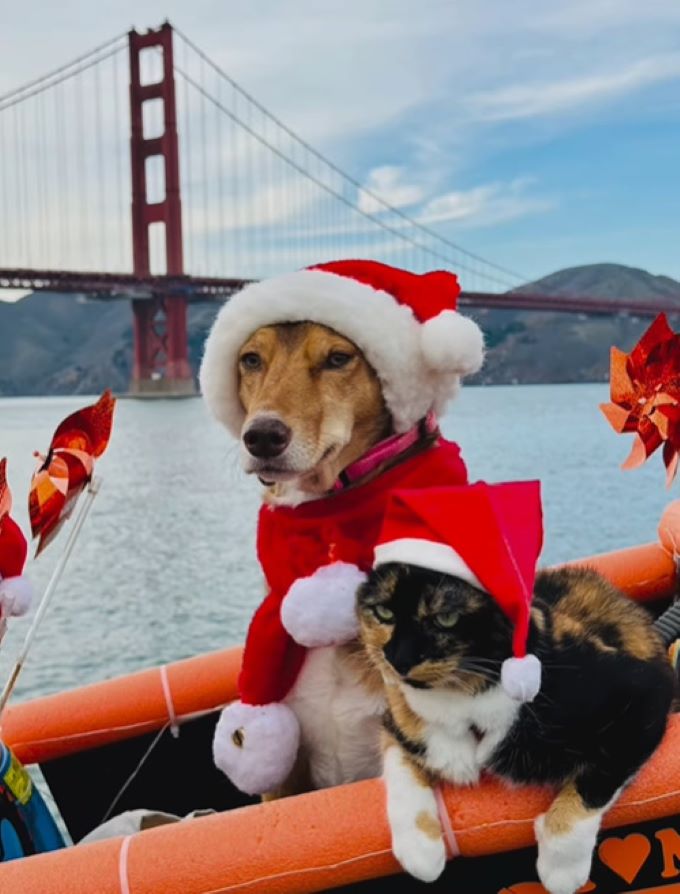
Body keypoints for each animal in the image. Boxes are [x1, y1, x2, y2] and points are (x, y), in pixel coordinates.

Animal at [356, 568, 676, 894]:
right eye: (383, 612)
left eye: (445, 618)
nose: (397, 660)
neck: (464, 698)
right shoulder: (399, 716)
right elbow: (400, 758)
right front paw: (419, 849)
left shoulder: (641, 694)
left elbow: (596, 782)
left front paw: (561, 865)